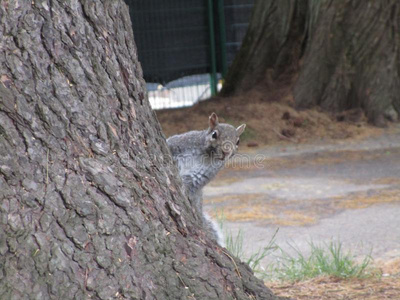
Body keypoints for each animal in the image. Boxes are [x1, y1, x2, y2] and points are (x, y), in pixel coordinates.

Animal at [166, 113, 247, 246]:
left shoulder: (205, 172)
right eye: (214, 134)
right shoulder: (181, 142)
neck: (206, 154)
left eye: (238, 141)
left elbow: (191, 182)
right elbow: (170, 144)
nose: (226, 151)